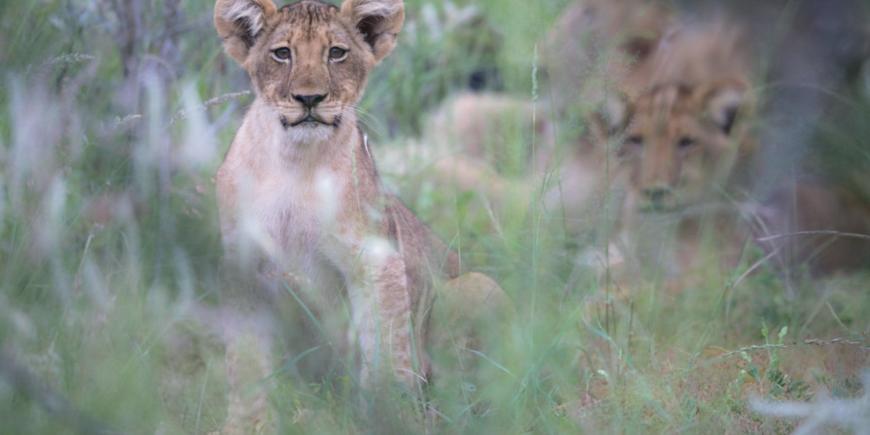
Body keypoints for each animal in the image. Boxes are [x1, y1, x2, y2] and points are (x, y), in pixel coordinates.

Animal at [211, 0, 508, 431]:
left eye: (337, 53)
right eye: (282, 53)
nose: (310, 98)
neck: (295, 162)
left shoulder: (376, 256)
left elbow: (384, 343)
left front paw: (389, 412)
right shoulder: (245, 261)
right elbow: (246, 359)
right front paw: (242, 424)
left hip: (477, 285)